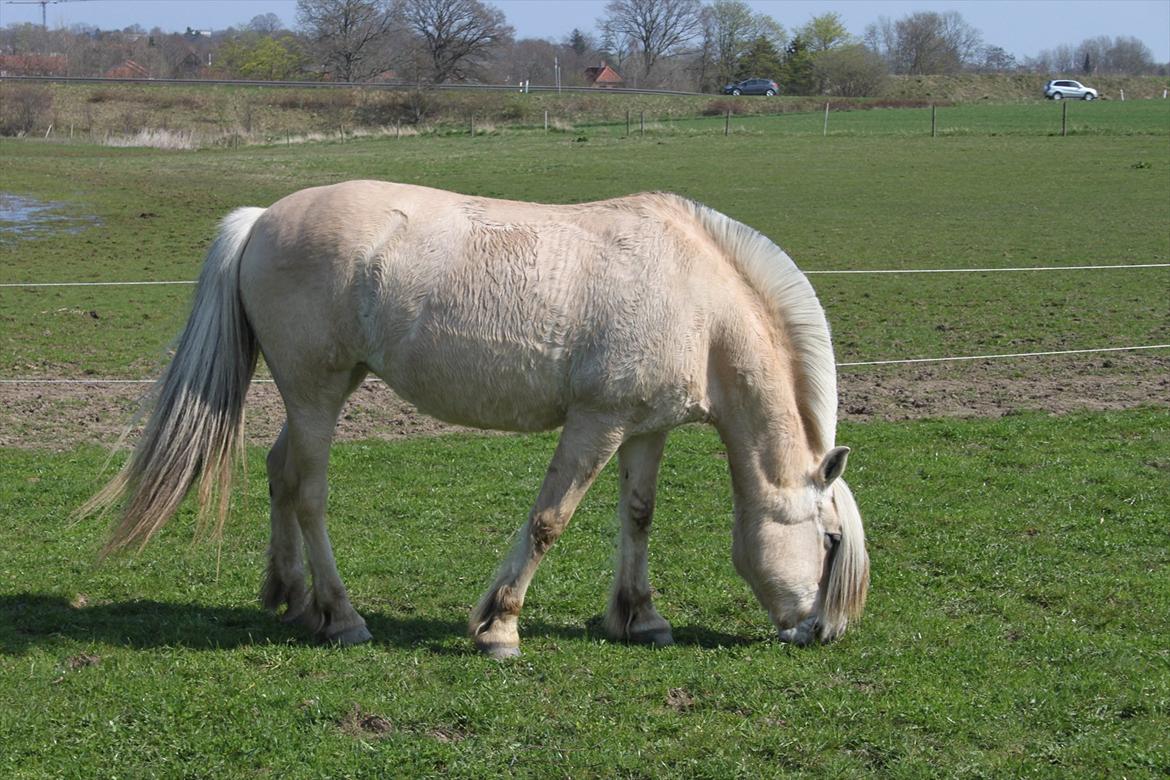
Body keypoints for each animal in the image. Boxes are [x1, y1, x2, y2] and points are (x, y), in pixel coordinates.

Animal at [84, 181, 870, 659]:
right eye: (831, 539)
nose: (821, 632)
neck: (695, 295)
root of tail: (262, 219)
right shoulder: (596, 423)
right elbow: (550, 520)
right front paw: (499, 627)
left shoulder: (644, 429)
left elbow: (639, 517)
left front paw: (639, 617)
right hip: (316, 393)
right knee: (307, 492)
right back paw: (342, 617)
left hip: (319, 395)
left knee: (280, 476)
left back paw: (294, 600)